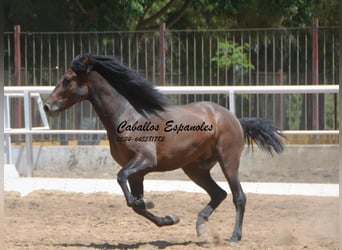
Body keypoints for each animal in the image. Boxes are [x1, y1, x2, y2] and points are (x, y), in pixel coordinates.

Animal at [43, 53, 284, 243]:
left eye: (67, 79)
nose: (47, 106)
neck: (128, 116)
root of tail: (234, 119)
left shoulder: (145, 161)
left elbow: (122, 180)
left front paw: (149, 202)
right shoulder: (137, 174)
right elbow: (134, 204)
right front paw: (168, 217)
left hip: (228, 161)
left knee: (238, 196)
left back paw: (234, 237)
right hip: (195, 169)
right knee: (219, 193)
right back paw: (200, 225)